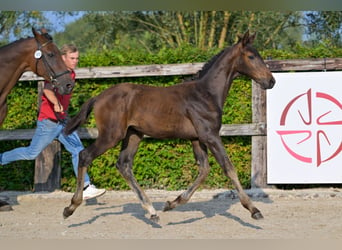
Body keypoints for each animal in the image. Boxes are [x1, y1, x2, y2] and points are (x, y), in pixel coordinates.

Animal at [62, 31, 276, 223]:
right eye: (251, 56)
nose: (271, 81)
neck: (205, 93)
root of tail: (98, 97)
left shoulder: (197, 139)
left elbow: (204, 170)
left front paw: (171, 203)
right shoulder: (210, 136)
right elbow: (228, 167)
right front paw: (254, 210)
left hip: (133, 135)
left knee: (123, 164)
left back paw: (152, 211)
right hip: (111, 135)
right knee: (85, 155)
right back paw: (70, 207)